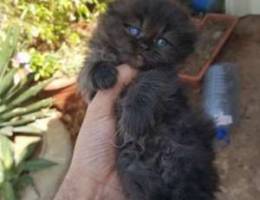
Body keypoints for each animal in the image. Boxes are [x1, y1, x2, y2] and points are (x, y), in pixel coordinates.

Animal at [78, 0, 218, 200]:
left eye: (162, 41)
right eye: (134, 30)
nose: (144, 45)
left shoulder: (166, 75)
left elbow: (150, 79)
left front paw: (134, 118)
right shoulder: (91, 93)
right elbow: (89, 67)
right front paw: (102, 72)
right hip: (135, 170)